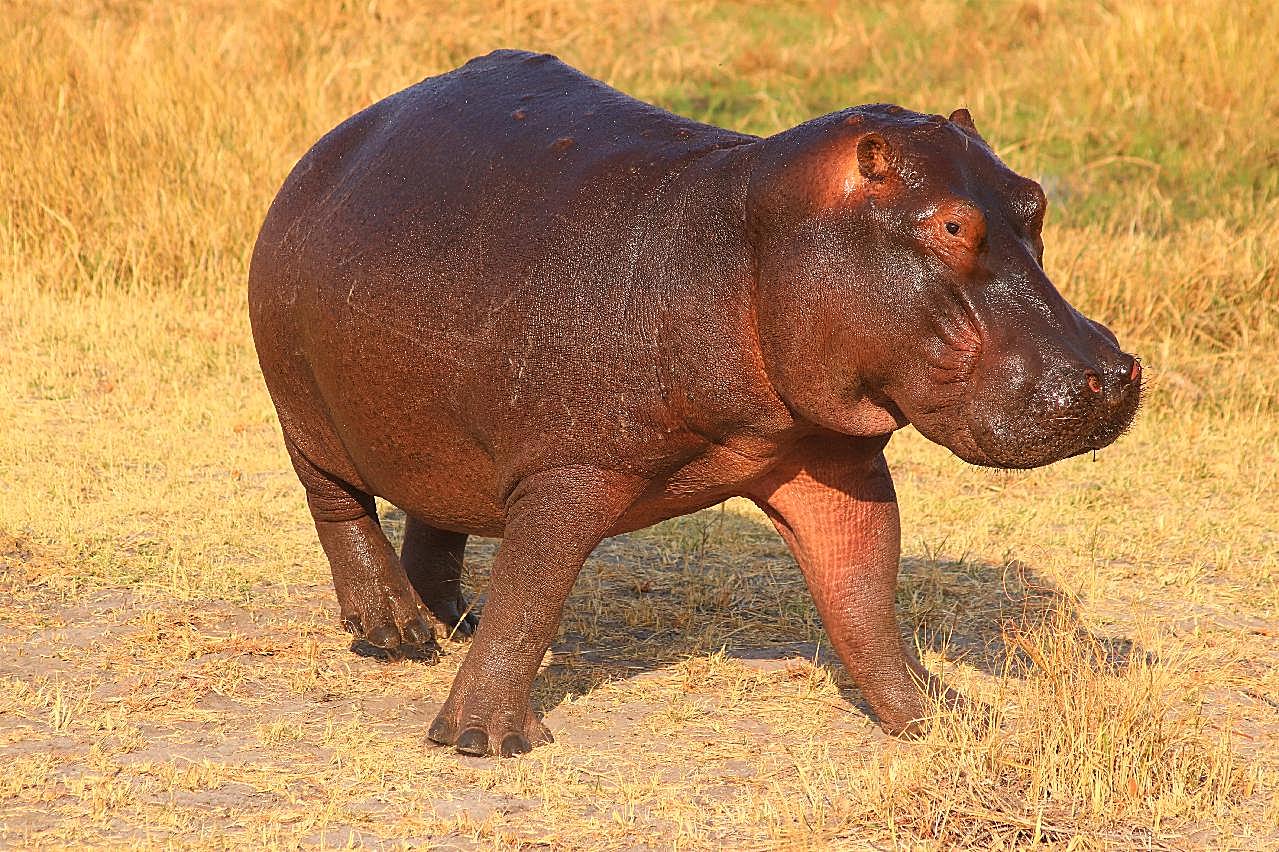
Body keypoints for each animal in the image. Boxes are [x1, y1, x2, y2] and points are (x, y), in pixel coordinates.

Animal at [246, 49, 1140, 752]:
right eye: (953, 227)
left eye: (1034, 200)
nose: (1114, 371)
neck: (748, 234)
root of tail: (338, 138)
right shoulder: (569, 470)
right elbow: (533, 592)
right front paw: (483, 740)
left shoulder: (829, 462)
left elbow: (862, 597)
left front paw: (947, 720)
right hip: (304, 412)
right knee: (339, 507)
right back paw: (394, 635)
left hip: (443, 429)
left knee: (440, 508)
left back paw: (448, 621)